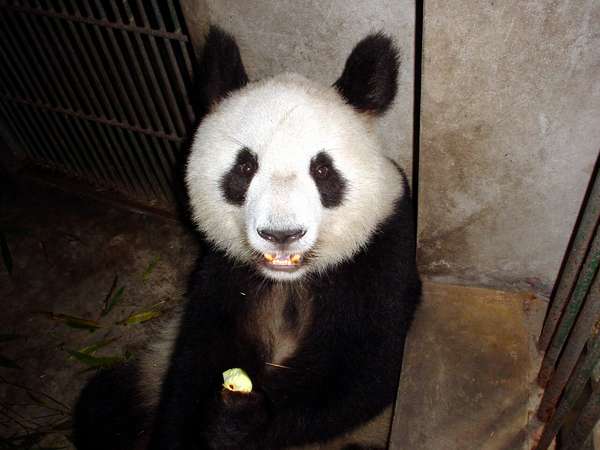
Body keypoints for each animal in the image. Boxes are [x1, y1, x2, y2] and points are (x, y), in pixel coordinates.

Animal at [74, 26, 422, 448]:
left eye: (322, 170)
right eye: (245, 167)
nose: (282, 234)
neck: (289, 280)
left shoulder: (381, 250)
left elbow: (363, 367)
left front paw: (240, 418)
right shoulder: (223, 271)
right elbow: (194, 362)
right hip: (146, 373)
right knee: (102, 406)